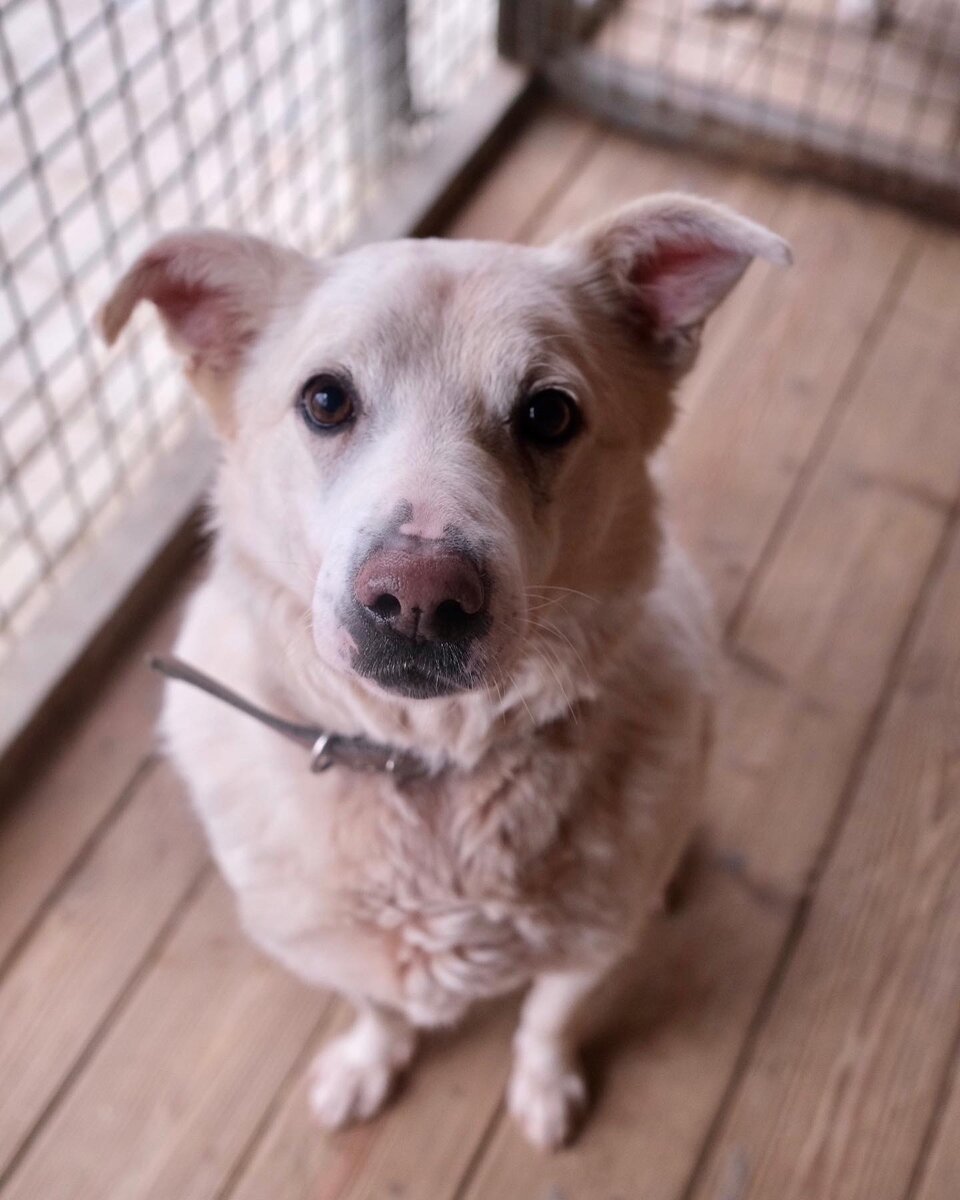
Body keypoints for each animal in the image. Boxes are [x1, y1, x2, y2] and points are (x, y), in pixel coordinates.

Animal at [99, 196, 787, 1152]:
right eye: (325, 399)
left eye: (548, 414)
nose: (420, 599)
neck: (425, 765)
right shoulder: (325, 945)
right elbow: (378, 1007)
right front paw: (368, 1063)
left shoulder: (588, 946)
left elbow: (548, 1019)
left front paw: (543, 1088)